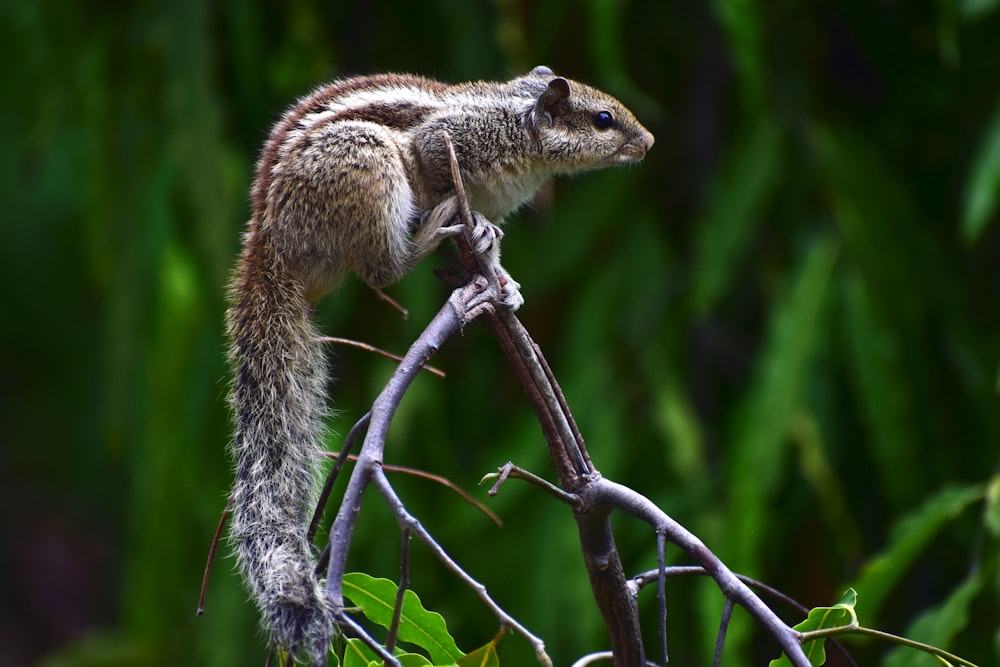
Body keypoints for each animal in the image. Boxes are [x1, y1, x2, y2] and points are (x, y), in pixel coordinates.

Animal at [223, 65, 652, 660]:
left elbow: (492, 253)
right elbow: (435, 166)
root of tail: (266, 245)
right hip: (369, 163)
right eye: (604, 118)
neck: (518, 122)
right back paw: (431, 232)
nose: (649, 142)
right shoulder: (447, 143)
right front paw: (470, 235)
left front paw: (505, 285)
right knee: (384, 268)